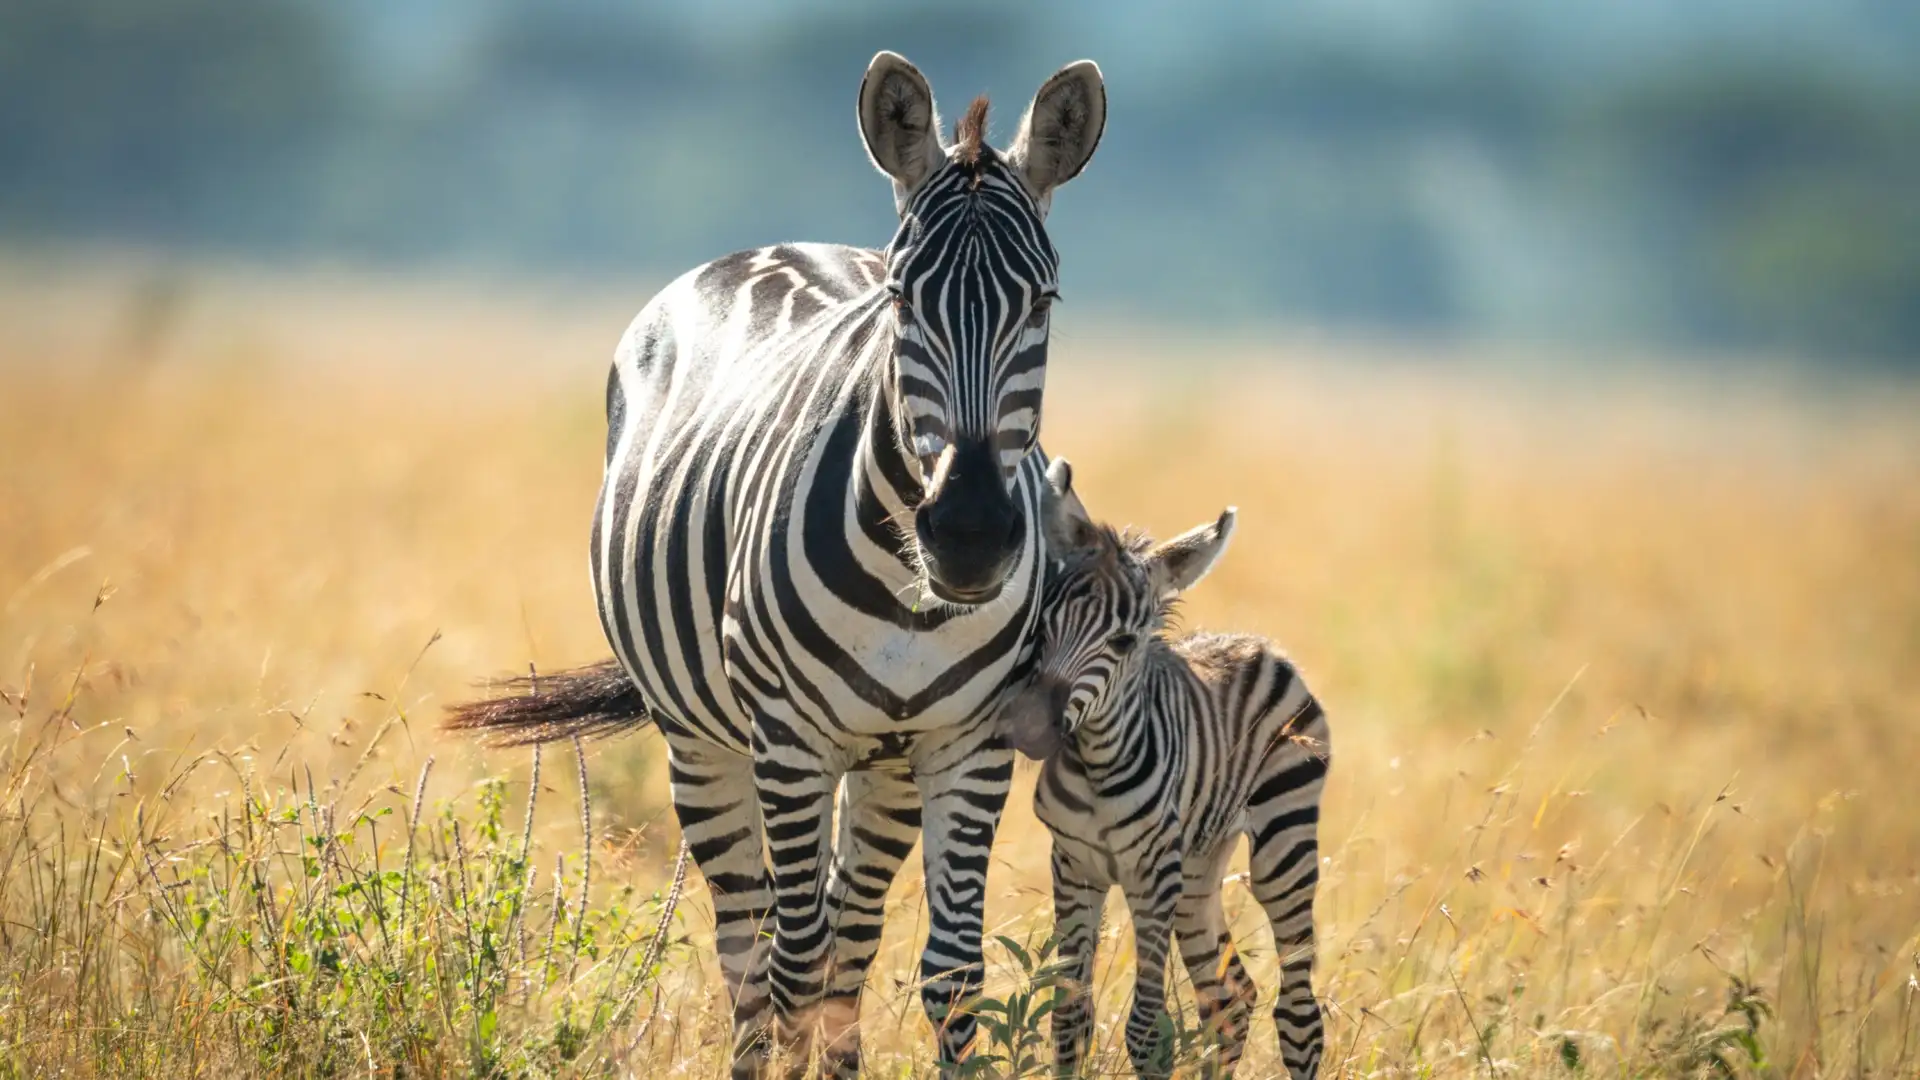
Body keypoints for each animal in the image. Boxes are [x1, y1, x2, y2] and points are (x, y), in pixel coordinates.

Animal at [446, 52, 1107, 1078]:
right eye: (903, 300)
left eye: (1043, 303)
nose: (966, 533)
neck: (914, 601)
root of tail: (775, 246)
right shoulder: (788, 740)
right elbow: (790, 963)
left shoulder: (972, 742)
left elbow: (952, 976)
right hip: (704, 741)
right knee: (755, 945)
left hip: (882, 765)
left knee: (850, 939)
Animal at [1001, 460, 1331, 1079]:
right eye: (1044, 622)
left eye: (1124, 641)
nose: (1028, 731)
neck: (1098, 766)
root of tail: (1261, 644)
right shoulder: (1074, 866)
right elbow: (1068, 1018)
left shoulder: (1153, 876)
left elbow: (1147, 1029)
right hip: (1199, 866)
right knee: (1230, 999)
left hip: (1283, 843)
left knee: (1298, 1011)